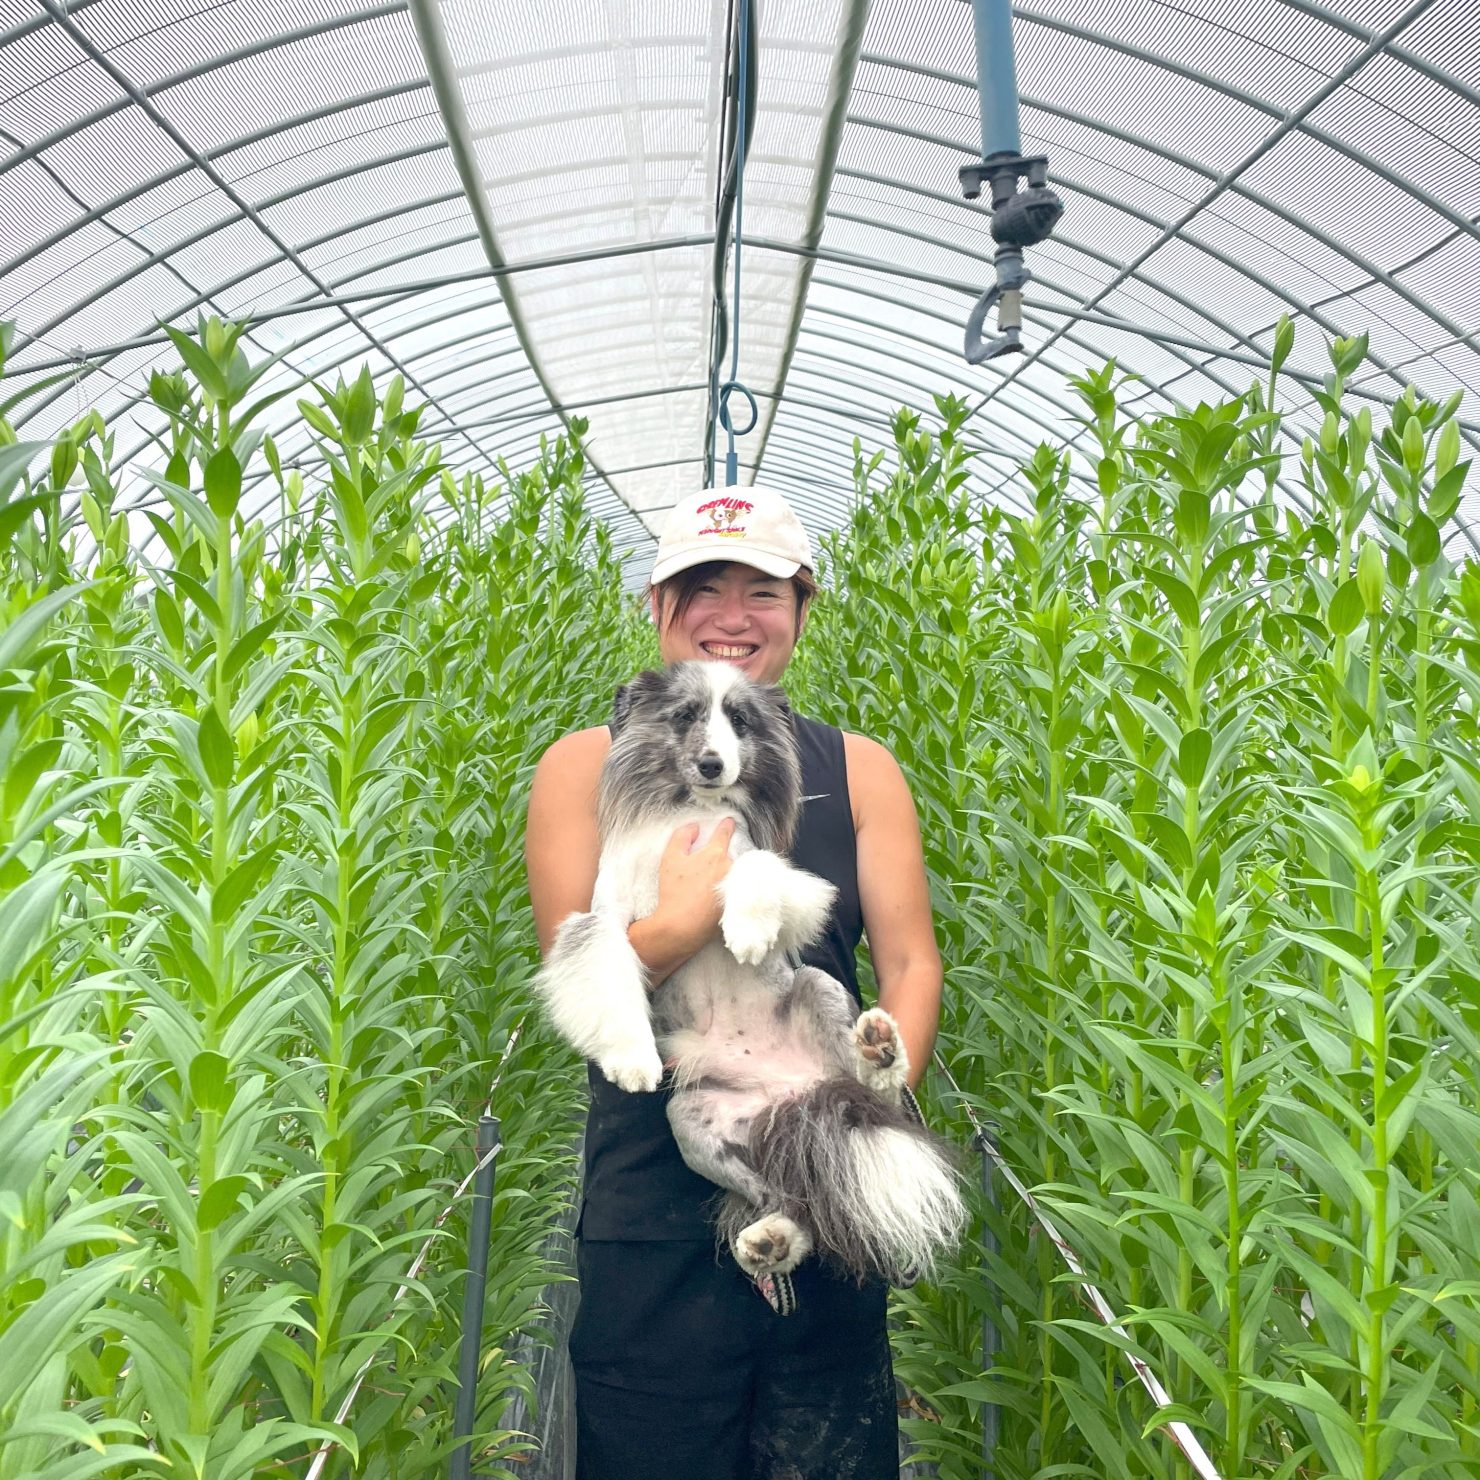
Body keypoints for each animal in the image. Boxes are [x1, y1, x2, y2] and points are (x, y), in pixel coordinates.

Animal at [538, 666, 964, 1290]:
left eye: (739, 721)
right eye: (685, 716)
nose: (713, 764)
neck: (689, 813)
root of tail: (794, 1094)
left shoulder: (782, 876)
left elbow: (755, 866)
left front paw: (747, 932)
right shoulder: (600, 919)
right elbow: (607, 965)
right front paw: (632, 1060)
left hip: (818, 990)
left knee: (873, 1092)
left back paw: (880, 1052)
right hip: (693, 1123)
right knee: (793, 1200)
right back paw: (772, 1241)